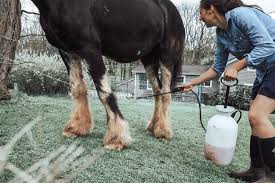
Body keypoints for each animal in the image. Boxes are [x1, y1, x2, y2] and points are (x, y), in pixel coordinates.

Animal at [29, 0, 185, 150]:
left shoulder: (90, 49)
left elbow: (104, 92)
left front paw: (116, 139)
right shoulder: (68, 51)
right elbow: (77, 88)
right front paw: (76, 128)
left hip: (166, 56)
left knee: (166, 92)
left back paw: (163, 132)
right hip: (148, 59)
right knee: (158, 90)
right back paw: (154, 126)